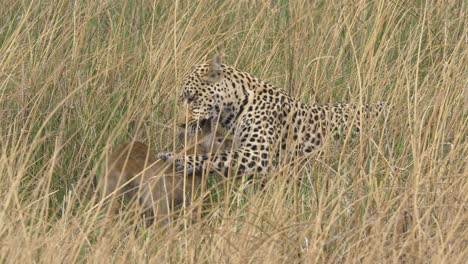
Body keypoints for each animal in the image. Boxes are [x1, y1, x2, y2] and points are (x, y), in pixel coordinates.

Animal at [161, 54, 384, 177]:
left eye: (192, 98)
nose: (180, 124)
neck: (240, 103)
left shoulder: (259, 154)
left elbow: (215, 156)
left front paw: (175, 158)